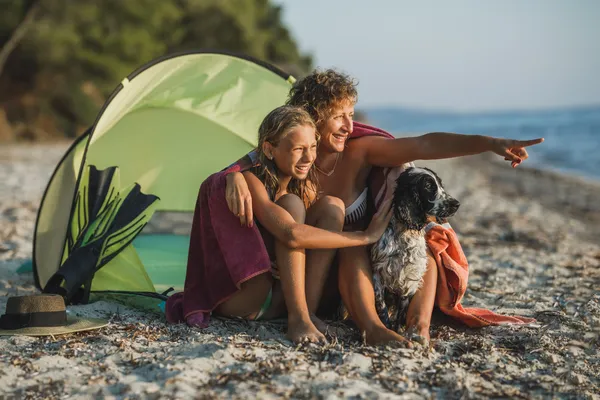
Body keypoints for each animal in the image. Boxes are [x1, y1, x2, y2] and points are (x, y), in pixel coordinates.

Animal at [370, 166, 460, 332]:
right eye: (429, 186)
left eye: (440, 184)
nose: (456, 204)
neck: (404, 233)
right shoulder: (377, 272)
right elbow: (381, 305)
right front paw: (386, 327)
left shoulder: (410, 279)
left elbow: (401, 312)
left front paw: (397, 330)